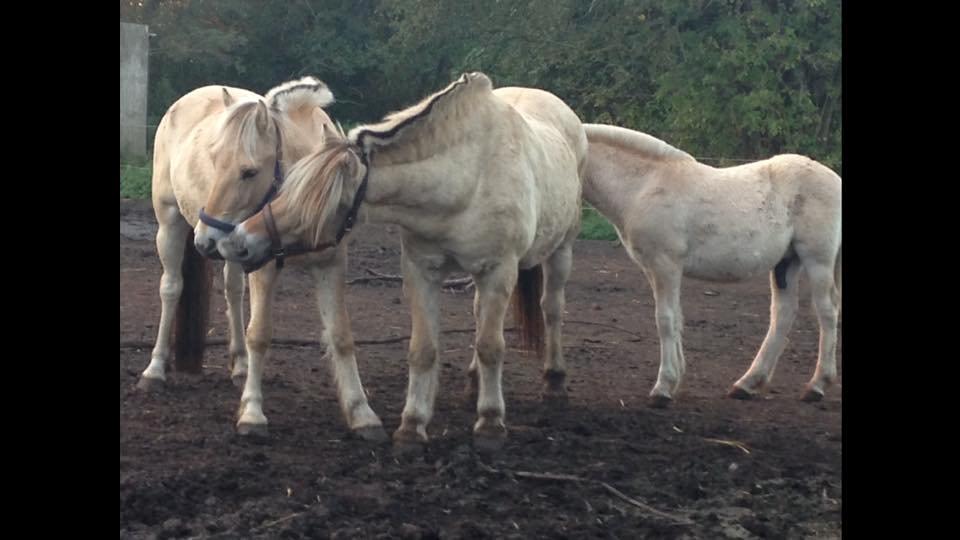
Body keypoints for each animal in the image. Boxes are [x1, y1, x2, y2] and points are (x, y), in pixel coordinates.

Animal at [140, 76, 386, 440]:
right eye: (215, 161)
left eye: (249, 172)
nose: (204, 238)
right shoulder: (265, 266)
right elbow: (260, 333)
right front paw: (252, 413)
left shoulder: (330, 264)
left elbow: (341, 334)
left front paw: (362, 413)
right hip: (169, 222)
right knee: (170, 289)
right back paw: (154, 370)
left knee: (233, 292)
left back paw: (240, 366)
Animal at [216, 73, 584, 452]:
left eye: (310, 205)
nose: (237, 242)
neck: (466, 177)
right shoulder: (421, 269)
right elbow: (423, 348)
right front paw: (412, 425)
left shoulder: (498, 271)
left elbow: (491, 347)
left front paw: (490, 424)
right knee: (480, 315)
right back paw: (472, 382)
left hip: (561, 252)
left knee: (551, 309)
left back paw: (555, 381)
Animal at [576, 124, 840, 408]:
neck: (644, 185)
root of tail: (835, 179)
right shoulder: (656, 269)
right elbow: (676, 318)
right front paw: (675, 380)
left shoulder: (665, 265)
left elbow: (665, 319)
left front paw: (663, 388)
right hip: (785, 263)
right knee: (783, 314)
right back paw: (747, 384)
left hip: (817, 260)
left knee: (827, 312)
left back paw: (817, 386)